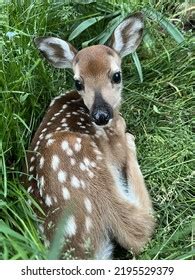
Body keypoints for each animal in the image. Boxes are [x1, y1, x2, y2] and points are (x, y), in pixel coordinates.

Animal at [25, 12, 154, 258]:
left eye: (116, 76)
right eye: (78, 82)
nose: (101, 115)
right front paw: (125, 132)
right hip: (89, 169)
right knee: (138, 229)